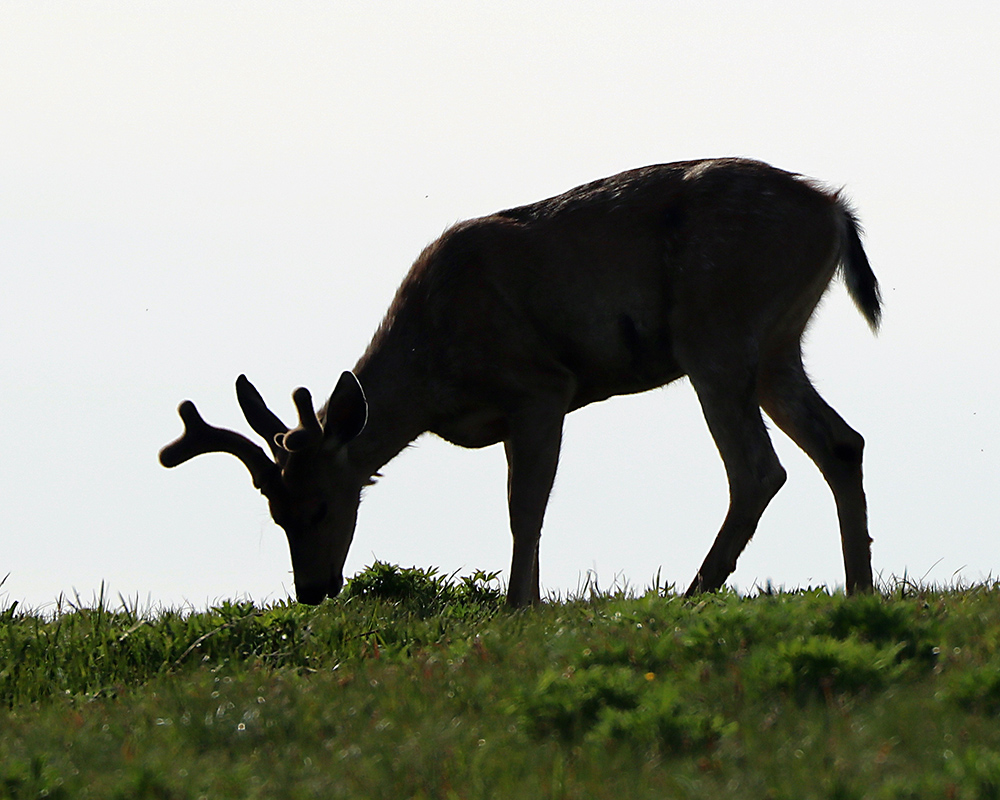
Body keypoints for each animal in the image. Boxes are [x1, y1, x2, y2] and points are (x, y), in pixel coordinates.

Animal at [160, 156, 880, 608]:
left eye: (319, 507)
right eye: (274, 512)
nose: (310, 590)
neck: (435, 373)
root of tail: (837, 214)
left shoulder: (539, 386)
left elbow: (524, 506)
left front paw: (518, 608)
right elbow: (522, 504)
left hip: (716, 331)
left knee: (758, 468)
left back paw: (694, 593)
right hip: (778, 346)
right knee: (842, 443)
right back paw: (859, 588)